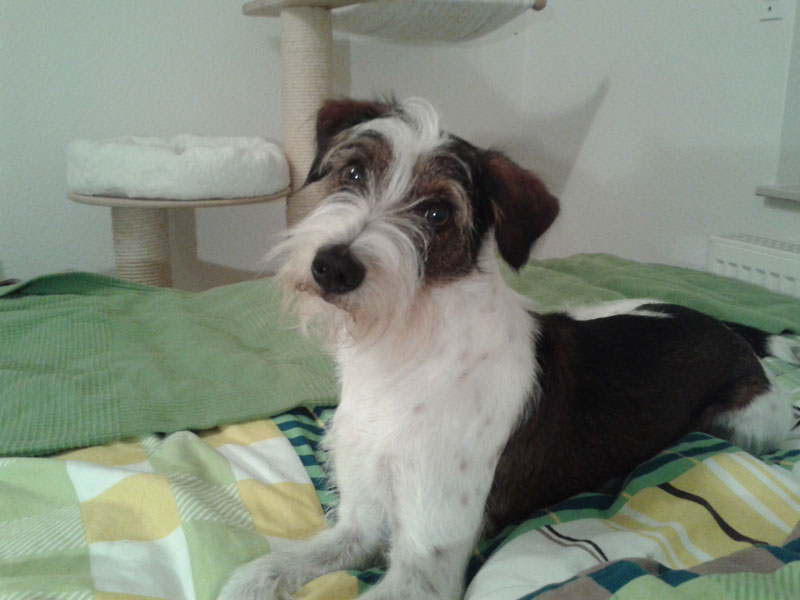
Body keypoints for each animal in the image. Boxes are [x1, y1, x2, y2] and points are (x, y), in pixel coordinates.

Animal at [219, 97, 799, 600]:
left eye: (436, 214)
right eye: (355, 173)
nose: (333, 267)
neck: (401, 354)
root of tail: (722, 324)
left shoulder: (425, 567)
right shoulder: (359, 523)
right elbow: (275, 566)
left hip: (746, 426)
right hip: (589, 308)